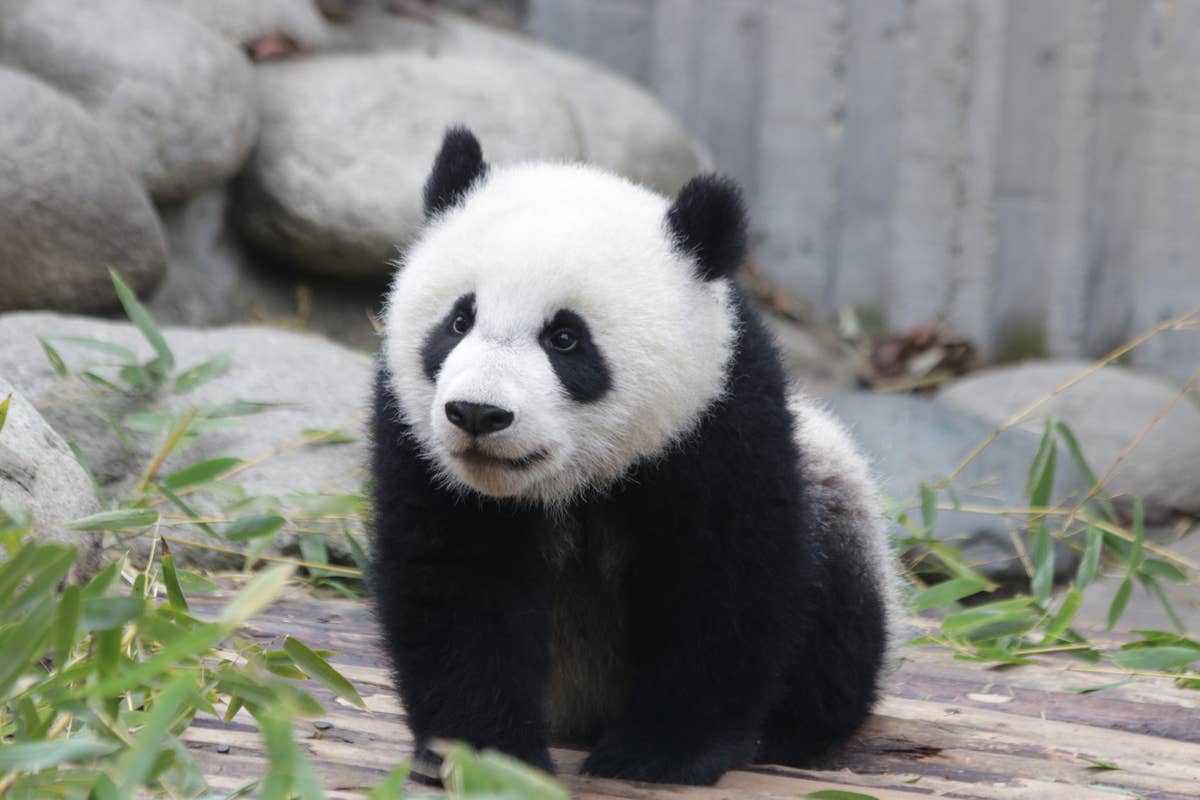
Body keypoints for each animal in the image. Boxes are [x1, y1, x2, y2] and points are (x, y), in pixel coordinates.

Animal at [370, 126, 903, 787]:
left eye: (565, 338)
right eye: (459, 320)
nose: (477, 414)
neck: (574, 480)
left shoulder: (717, 418)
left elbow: (719, 580)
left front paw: (660, 754)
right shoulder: (420, 445)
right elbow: (459, 586)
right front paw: (487, 754)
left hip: (832, 495)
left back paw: (792, 729)